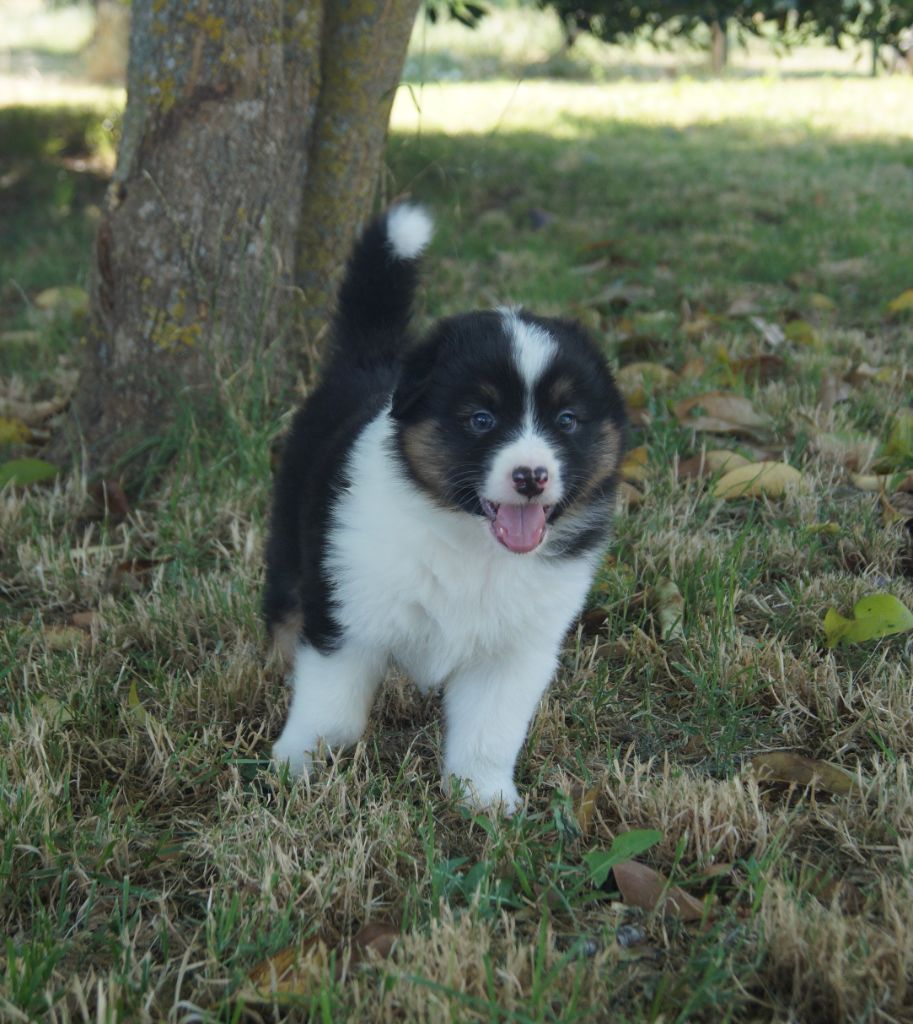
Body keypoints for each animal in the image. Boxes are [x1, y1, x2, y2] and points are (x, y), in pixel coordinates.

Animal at [265, 204, 627, 810]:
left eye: (567, 420)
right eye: (481, 419)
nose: (531, 477)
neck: (470, 542)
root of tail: (372, 360)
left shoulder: (515, 652)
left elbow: (489, 729)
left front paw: (484, 799)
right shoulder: (347, 613)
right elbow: (329, 709)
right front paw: (299, 768)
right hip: (294, 527)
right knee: (283, 602)